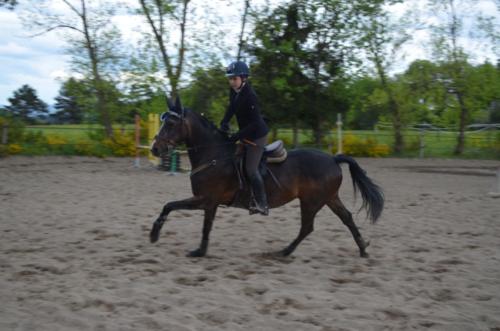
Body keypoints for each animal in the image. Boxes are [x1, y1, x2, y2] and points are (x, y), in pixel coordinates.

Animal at [148, 96, 382, 260]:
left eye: (171, 124)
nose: (155, 149)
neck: (214, 155)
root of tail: (333, 158)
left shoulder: (206, 199)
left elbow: (173, 207)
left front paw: (156, 235)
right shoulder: (209, 203)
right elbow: (197, 220)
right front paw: (198, 250)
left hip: (311, 201)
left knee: (307, 227)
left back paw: (283, 252)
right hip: (329, 198)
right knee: (346, 218)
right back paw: (363, 249)